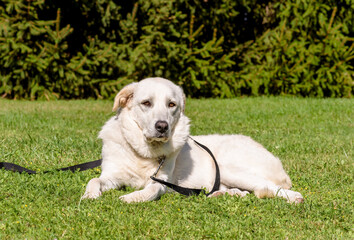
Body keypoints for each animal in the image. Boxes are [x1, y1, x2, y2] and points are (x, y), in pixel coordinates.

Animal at [81, 78, 302, 203]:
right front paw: (89, 195)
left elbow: (151, 190)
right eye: (146, 103)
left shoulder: (161, 181)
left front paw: (131, 197)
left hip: (227, 167)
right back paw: (225, 195)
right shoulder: (112, 175)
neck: (143, 152)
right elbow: (94, 180)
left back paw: (294, 198)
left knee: (270, 187)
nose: (162, 126)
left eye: (172, 104)